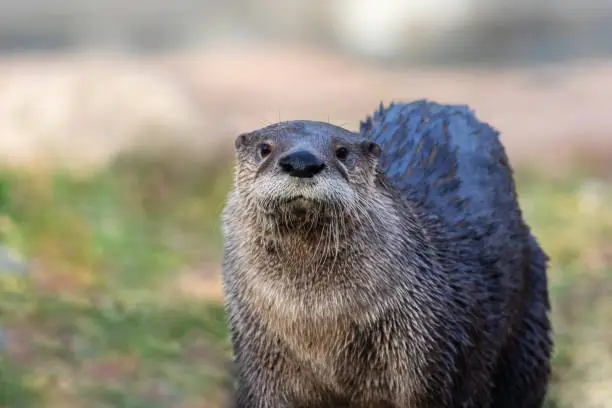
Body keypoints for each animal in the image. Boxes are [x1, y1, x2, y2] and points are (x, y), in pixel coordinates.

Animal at [221, 99, 556, 408]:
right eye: (265, 149)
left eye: (342, 152)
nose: (302, 162)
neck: (318, 321)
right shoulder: (259, 356)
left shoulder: (423, 352)